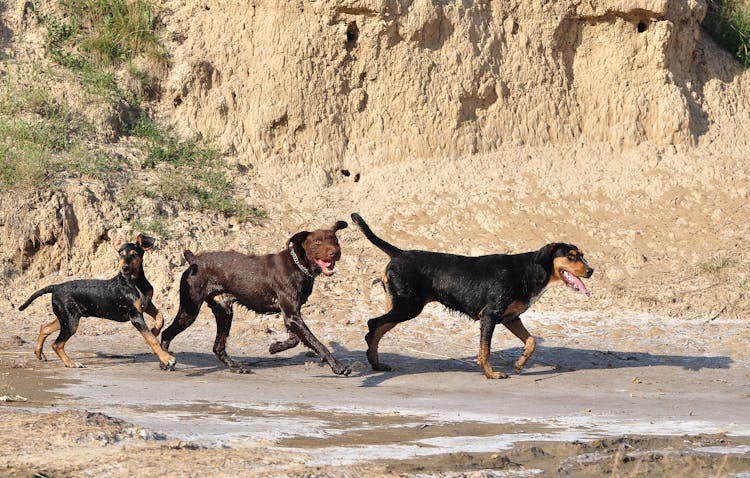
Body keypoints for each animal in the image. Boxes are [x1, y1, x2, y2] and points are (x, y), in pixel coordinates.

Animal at [18, 234, 177, 370]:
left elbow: (160, 318)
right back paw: (71, 363)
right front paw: (166, 358)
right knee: (57, 344)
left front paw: (155, 330)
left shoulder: (147, 304)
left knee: (44, 328)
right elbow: (151, 339)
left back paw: (39, 353)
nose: (124, 268)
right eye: (120, 254)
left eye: (134, 254)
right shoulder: (135, 316)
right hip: (70, 322)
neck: (134, 282)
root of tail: (55, 287)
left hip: (66, 318)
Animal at [350, 215, 596, 380]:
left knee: (375, 328)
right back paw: (374, 361)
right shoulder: (489, 316)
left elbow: (531, 341)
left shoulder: (511, 318)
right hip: (408, 306)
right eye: (571, 256)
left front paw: (519, 364)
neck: (530, 269)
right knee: (373, 325)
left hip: (401, 305)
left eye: (582, 255)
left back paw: (376, 364)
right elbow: (484, 351)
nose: (591, 271)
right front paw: (492, 374)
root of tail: (398, 253)